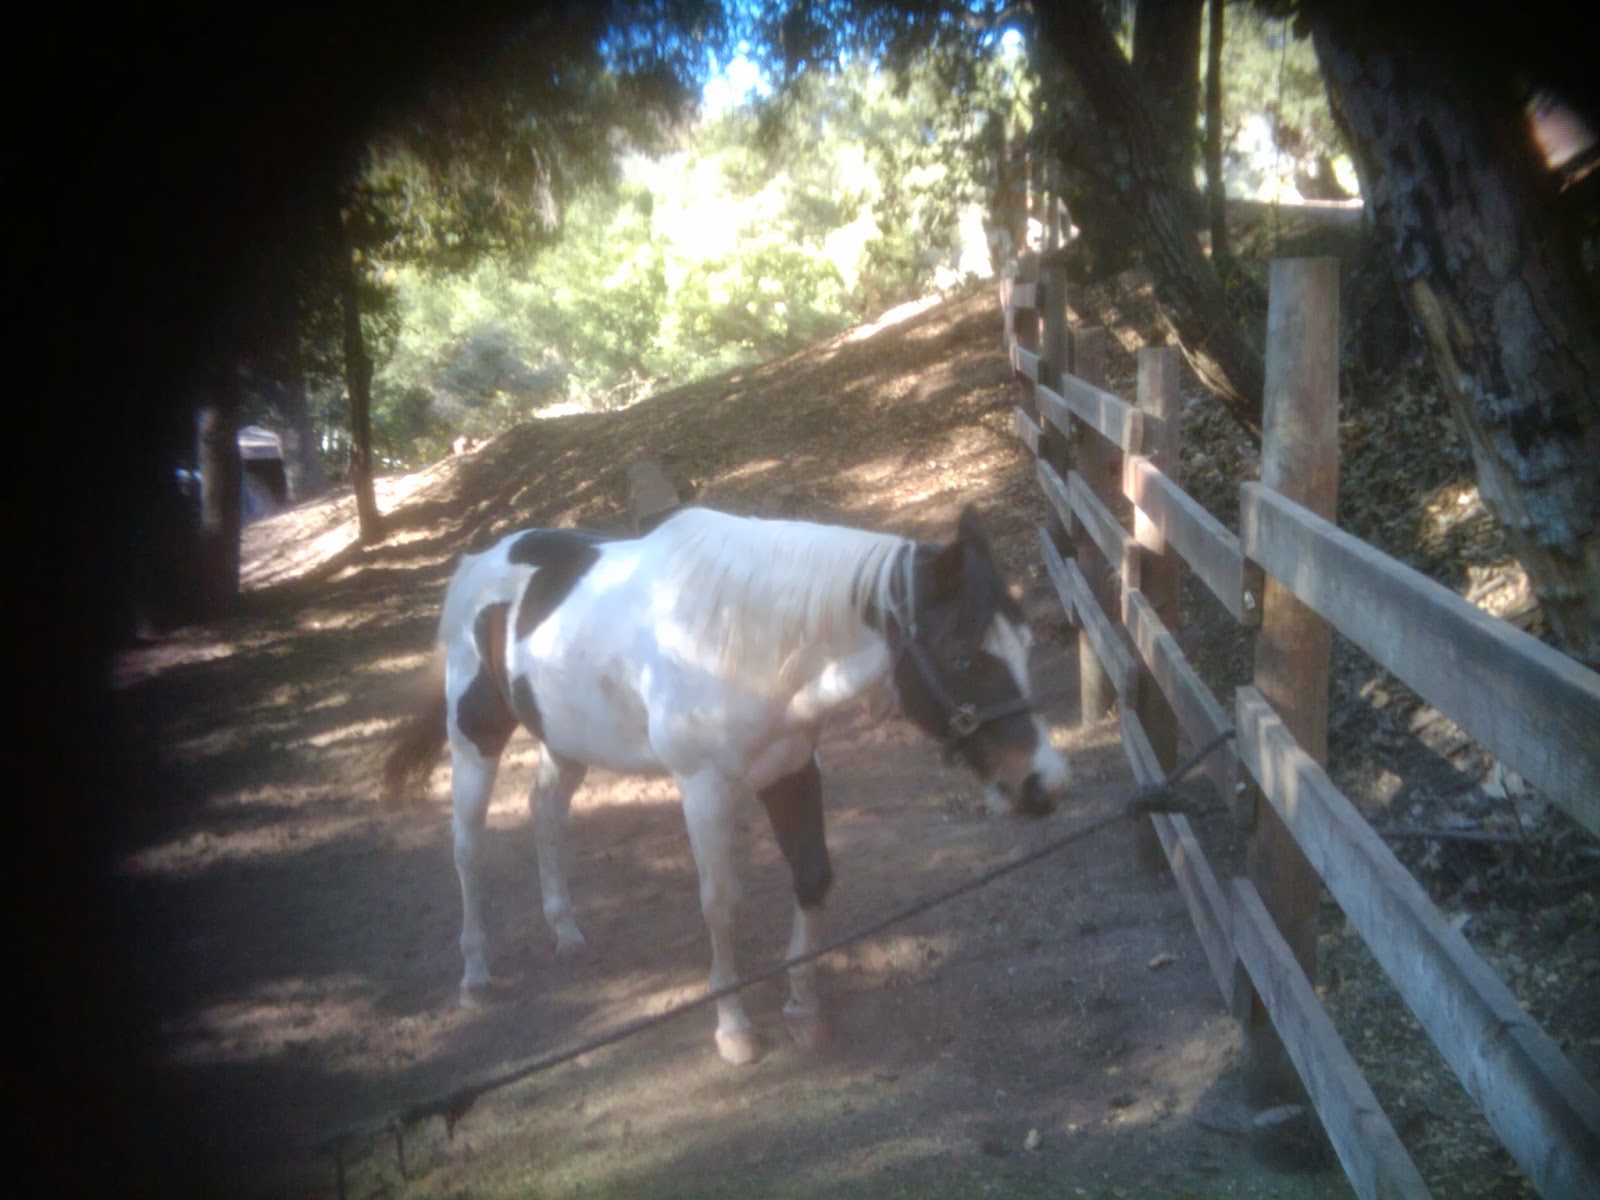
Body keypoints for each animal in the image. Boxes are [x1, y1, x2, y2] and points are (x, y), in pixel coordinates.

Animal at [382, 503, 1072, 1064]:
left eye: (1026, 643)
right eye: (962, 656)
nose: (1044, 783)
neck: (744, 645)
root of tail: (479, 562)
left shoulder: (792, 769)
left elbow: (813, 879)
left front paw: (803, 1011)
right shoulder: (704, 789)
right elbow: (721, 902)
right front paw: (735, 1030)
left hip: (565, 739)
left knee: (545, 813)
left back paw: (567, 933)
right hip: (475, 738)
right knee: (468, 847)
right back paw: (475, 973)